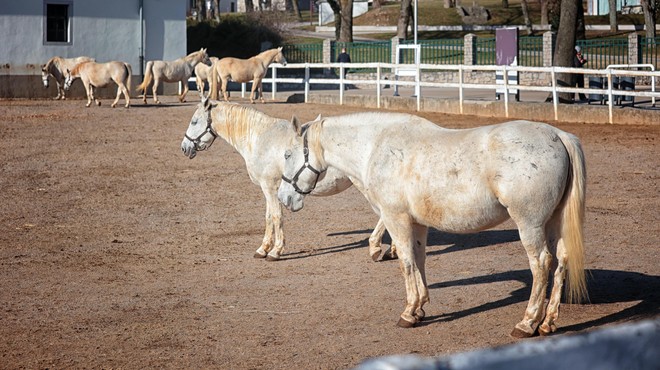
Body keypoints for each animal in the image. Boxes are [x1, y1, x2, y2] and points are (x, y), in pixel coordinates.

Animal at [179, 97, 392, 260]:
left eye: (194, 122)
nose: (184, 147)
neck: (260, 139)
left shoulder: (269, 187)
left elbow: (276, 217)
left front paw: (276, 251)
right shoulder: (268, 189)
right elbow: (268, 217)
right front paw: (262, 249)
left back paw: (376, 248)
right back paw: (391, 251)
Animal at [278, 113, 588, 338]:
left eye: (287, 154)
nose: (283, 197)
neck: (377, 148)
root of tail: (558, 135)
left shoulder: (396, 219)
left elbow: (405, 262)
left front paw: (408, 312)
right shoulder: (417, 223)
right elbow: (419, 260)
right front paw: (420, 308)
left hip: (530, 224)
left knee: (541, 264)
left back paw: (528, 322)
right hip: (555, 223)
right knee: (561, 263)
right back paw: (548, 322)